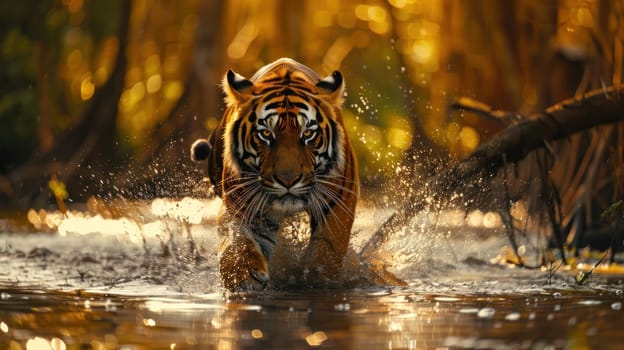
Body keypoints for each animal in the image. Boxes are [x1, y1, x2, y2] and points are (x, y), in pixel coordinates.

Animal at [190, 58, 358, 292]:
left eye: (308, 133)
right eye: (266, 134)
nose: (288, 180)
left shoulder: (340, 199)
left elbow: (328, 245)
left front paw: (317, 277)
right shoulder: (241, 203)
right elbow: (235, 238)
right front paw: (243, 274)